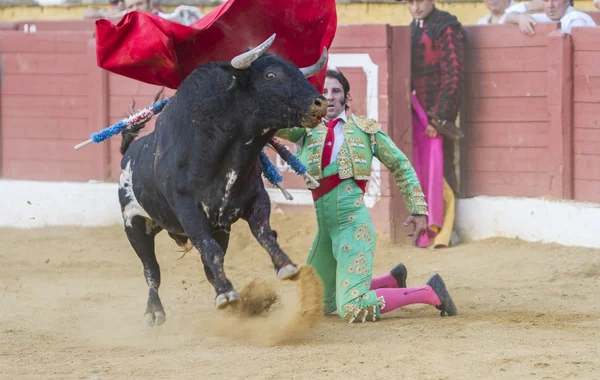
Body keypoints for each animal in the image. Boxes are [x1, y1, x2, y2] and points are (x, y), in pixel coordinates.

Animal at [117, 35, 328, 326]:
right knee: (152, 271)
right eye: (270, 75)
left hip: (216, 228)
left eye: (297, 70)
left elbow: (264, 233)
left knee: (205, 265)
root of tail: (129, 153)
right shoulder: (188, 211)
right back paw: (154, 312)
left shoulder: (253, 200)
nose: (320, 103)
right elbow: (210, 250)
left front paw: (285, 266)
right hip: (134, 225)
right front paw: (227, 293)